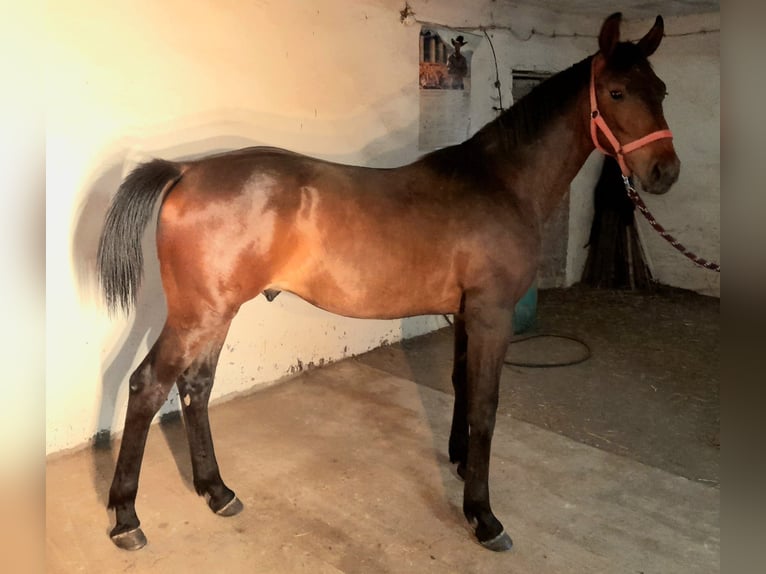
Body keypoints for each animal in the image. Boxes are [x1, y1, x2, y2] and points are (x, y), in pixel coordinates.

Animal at [97, 12, 679, 553]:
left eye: (661, 89)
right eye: (616, 91)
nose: (664, 172)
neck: (502, 182)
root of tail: (186, 172)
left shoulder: (466, 313)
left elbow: (462, 386)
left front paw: (461, 465)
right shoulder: (492, 314)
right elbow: (486, 406)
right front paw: (484, 516)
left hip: (217, 314)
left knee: (195, 387)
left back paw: (217, 491)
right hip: (197, 315)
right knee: (148, 386)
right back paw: (126, 517)